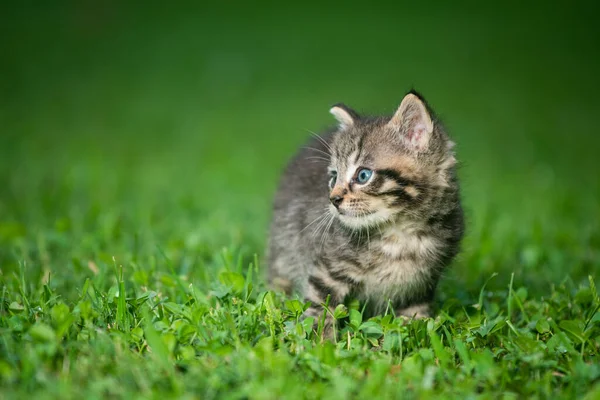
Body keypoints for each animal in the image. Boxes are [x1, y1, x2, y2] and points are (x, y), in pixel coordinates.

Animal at [268, 90, 464, 328]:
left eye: (363, 175)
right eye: (334, 177)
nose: (333, 199)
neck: (399, 235)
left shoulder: (420, 286)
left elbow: (414, 320)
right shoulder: (327, 269)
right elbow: (320, 307)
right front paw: (320, 336)